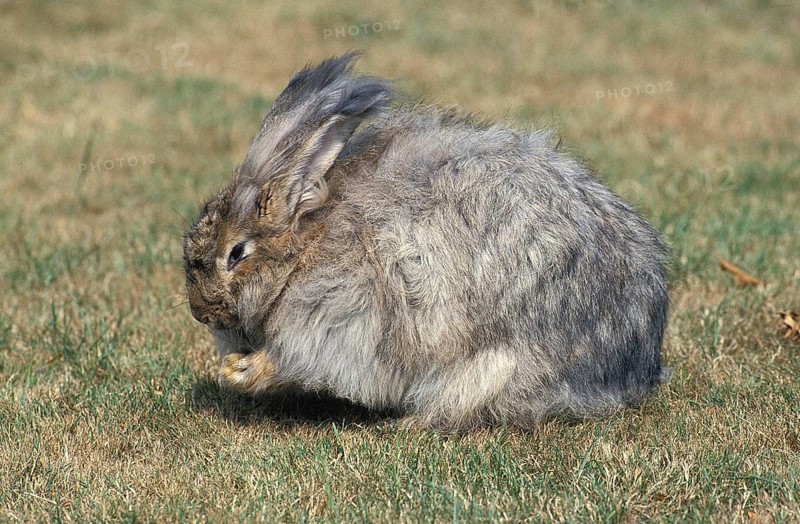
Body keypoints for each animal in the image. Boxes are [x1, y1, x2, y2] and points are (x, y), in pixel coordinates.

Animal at [183, 52, 669, 431]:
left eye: (236, 253)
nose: (199, 312)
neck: (303, 251)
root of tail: (631, 369)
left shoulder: (342, 317)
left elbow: (302, 360)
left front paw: (243, 371)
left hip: (492, 364)